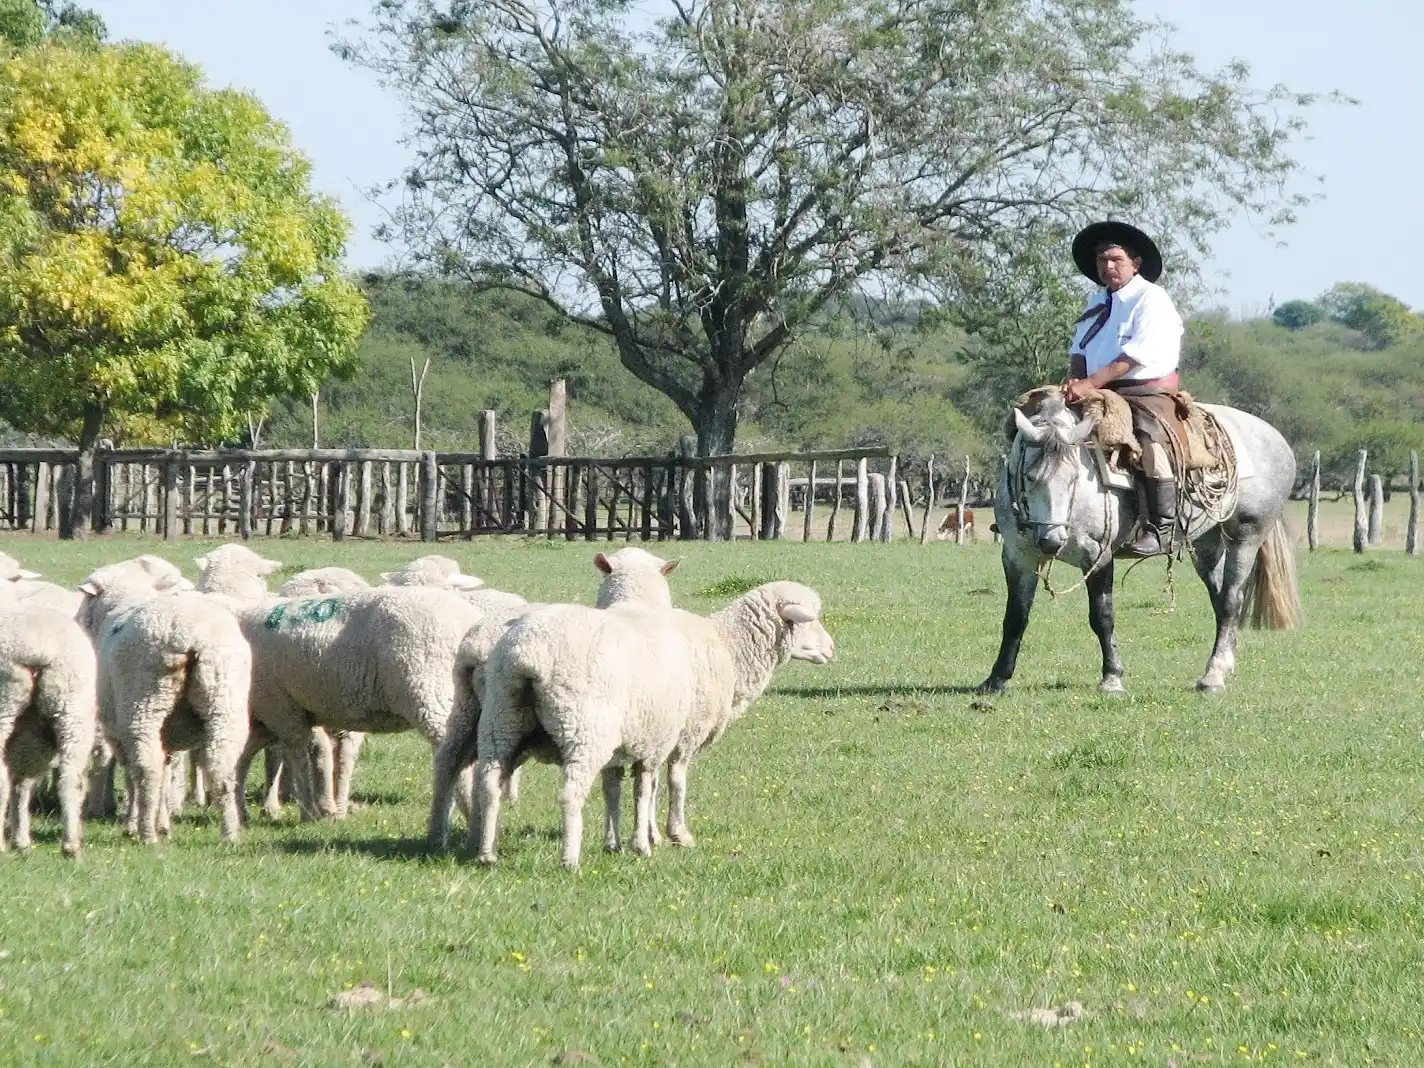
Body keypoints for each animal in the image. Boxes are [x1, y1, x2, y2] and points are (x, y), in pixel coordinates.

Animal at [0, 605, 98, 856]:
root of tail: (39, 649)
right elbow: (22, 784)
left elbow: (20, 785)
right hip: (72, 708)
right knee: (70, 779)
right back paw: (71, 846)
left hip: (10, 705)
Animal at [78, 556, 250, 844]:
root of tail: (190, 635)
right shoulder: (169, 734)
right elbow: (168, 772)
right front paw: (164, 823)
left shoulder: (120, 731)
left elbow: (136, 777)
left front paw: (135, 822)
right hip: (225, 699)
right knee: (222, 768)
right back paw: (230, 834)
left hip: (143, 705)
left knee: (148, 769)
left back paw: (146, 834)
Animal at [469, 581, 833, 869]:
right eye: (810, 620)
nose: (832, 648)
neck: (729, 648)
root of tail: (526, 656)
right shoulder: (678, 736)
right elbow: (670, 784)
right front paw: (670, 835)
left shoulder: (641, 737)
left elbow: (618, 788)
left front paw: (621, 840)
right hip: (585, 731)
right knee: (570, 795)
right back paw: (569, 859)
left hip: (501, 723)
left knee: (489, 786)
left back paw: (487, 853)